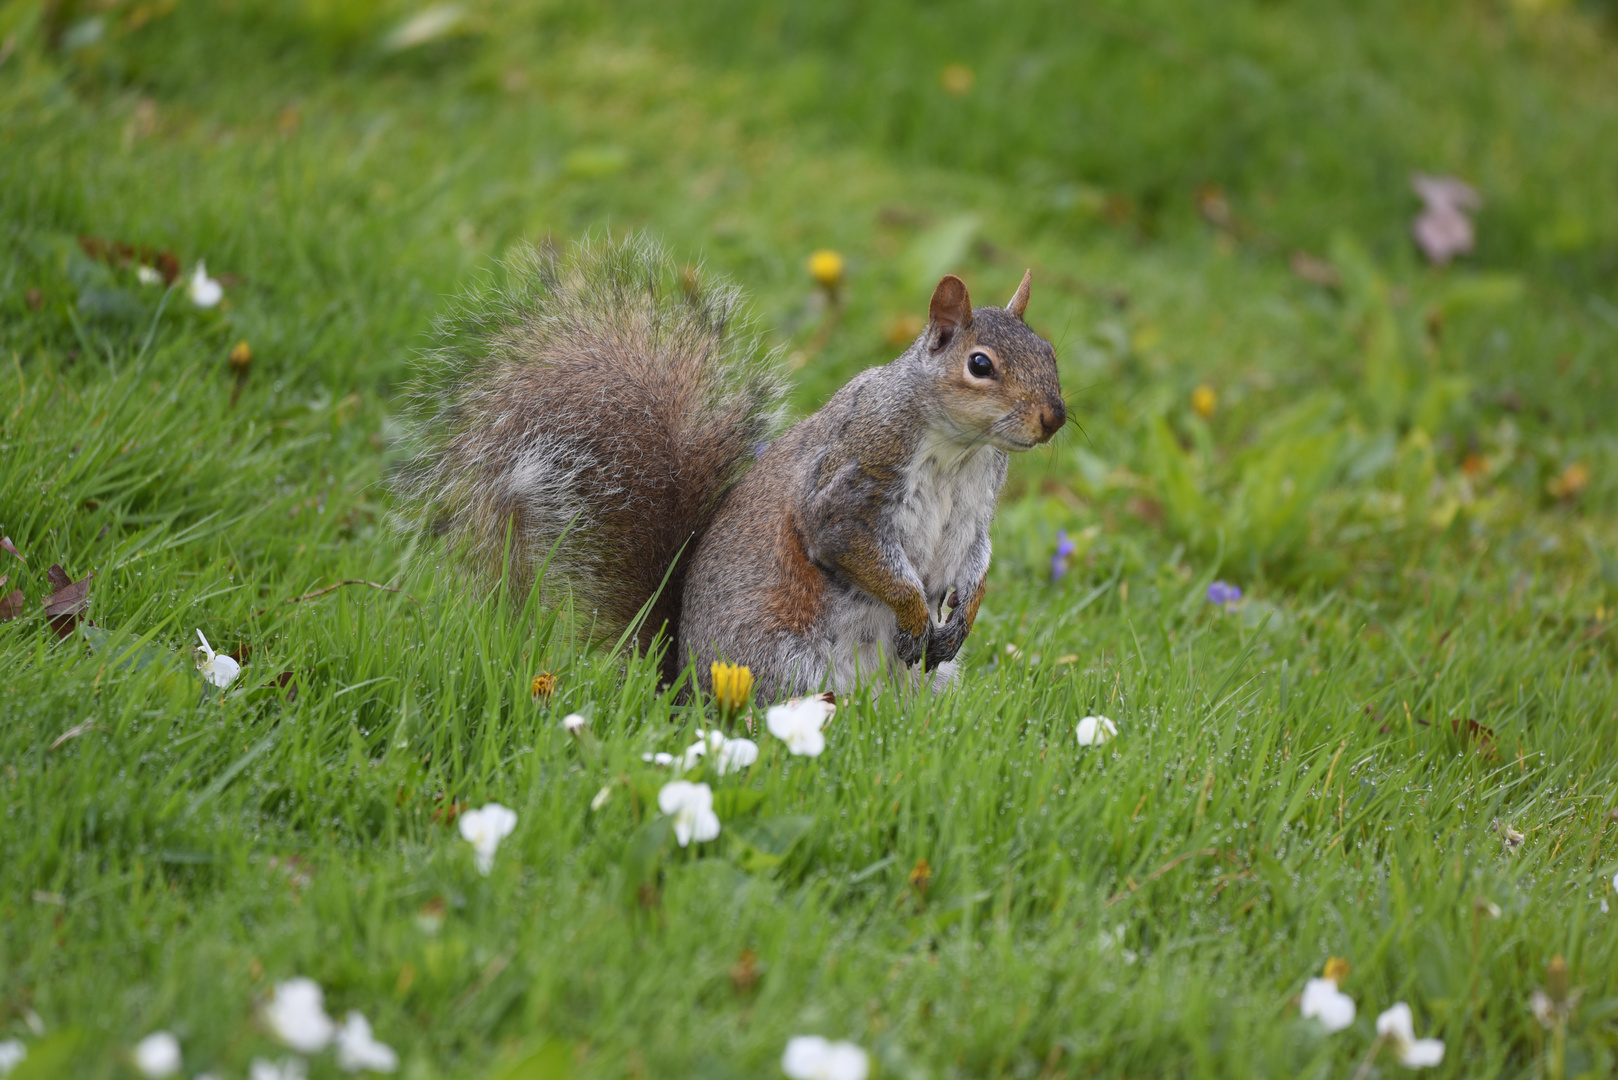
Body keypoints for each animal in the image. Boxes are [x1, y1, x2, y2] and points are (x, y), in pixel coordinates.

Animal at [399, 238, 1067, 702]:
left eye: (1050, 352)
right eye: (980, 364)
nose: (1055, 418)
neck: (962, 449)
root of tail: (679, 684)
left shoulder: (978, 508)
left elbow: (976, 561)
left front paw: (963, 615)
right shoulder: (854, 479)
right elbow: (852, 544)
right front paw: (911, 612)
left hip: (926, 679)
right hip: (783, 663)